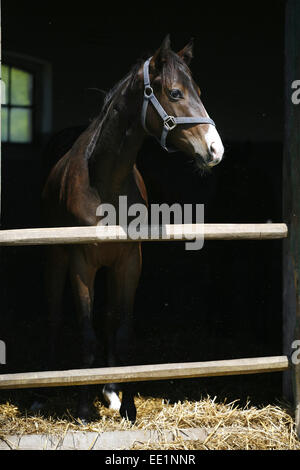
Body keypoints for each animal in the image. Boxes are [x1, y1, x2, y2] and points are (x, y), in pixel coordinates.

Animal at [43, 35, 224, 420]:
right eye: (174, 92)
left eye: (198, 90)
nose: (215, 150)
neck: (105, 183)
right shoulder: (81, 264)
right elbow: (86, 335)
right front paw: (84, 407)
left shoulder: (129, 262)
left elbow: (122, 333)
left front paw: (126, 405)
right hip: (56, 259)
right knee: (53, 318)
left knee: (110, 322)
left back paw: (110, 391)